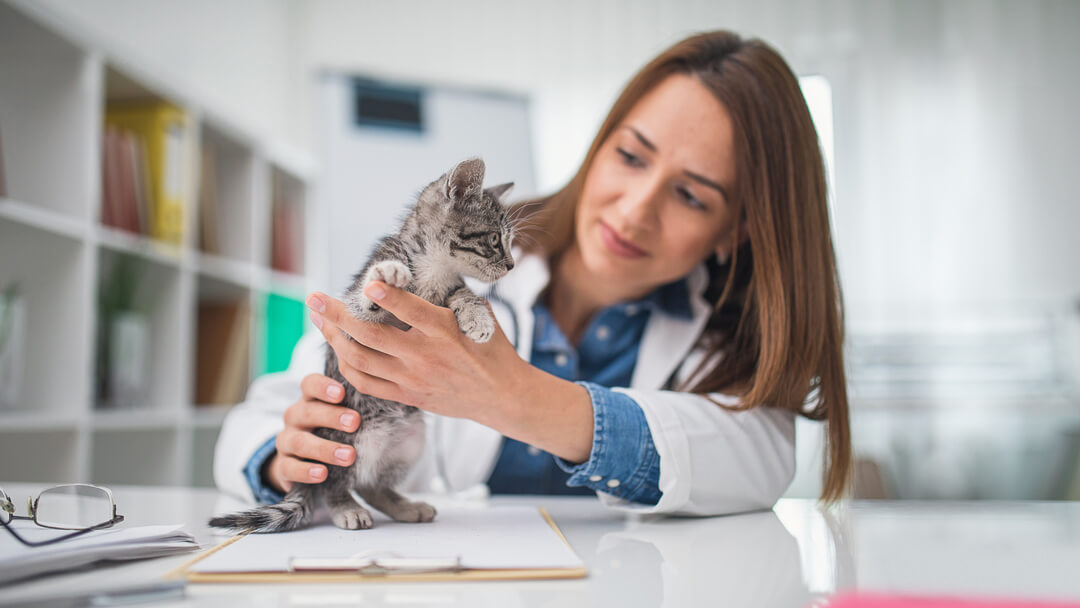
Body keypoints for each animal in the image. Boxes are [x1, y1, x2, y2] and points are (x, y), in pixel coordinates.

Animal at [211, 158, 518, 533]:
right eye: (494, 239)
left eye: (509, 241)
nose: (511, 264)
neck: (435, 270)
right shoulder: (352, 317)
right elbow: (365, 298)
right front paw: (385, 276)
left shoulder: (450, 290)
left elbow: (464, 293)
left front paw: (478, 318)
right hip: (346, 440)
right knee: (332, 481)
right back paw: (346, 507)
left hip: (411, 438)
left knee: (371, 484)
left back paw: (404, 506)